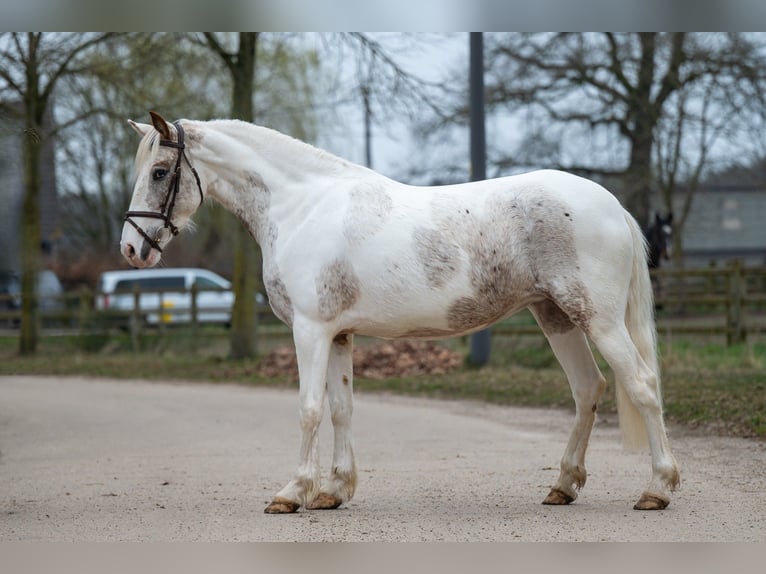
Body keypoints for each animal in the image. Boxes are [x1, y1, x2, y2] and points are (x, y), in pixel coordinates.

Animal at [123, 111, 680, 512]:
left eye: (160, 172)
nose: (132, 249)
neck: (302, 208)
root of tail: (611, 205)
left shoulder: (310, 331)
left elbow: (309, 410)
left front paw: (292, 493)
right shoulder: (338, 334)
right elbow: (342, 408)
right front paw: (333, 492)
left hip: (597, 319)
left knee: (641, 386)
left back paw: (657, 488)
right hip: (556, 316)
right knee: (588, 389)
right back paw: (563, 486)